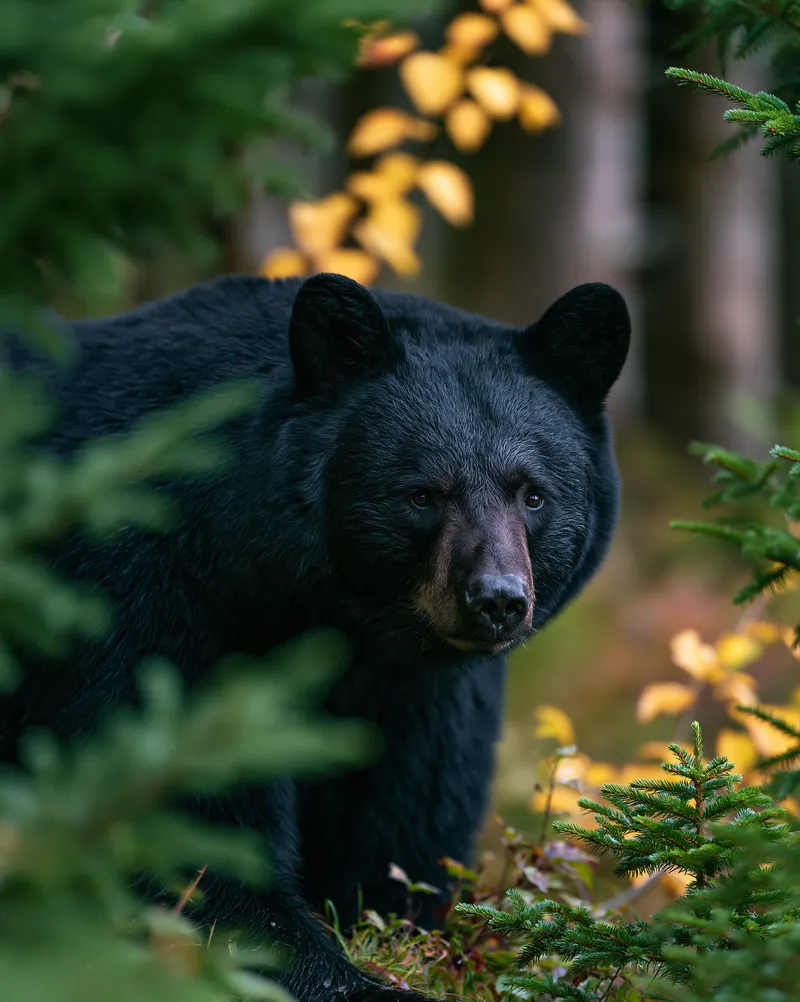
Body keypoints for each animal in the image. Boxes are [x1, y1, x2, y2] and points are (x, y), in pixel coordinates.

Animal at [0, 272, 630, 1002]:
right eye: (422, 494)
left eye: (532, 494)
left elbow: (408, 826)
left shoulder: (421, 697)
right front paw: (360, 979)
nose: (496, 600)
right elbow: (186, 830)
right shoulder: (148, 597)